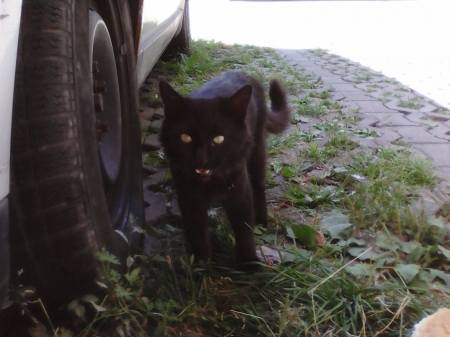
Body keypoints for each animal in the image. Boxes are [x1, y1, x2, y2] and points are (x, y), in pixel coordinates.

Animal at [160, 71, 290, 268]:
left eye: (219, 139)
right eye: (186, 137)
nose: (202, 159)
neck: (209, 184)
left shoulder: (239, 191)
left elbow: (244, 229)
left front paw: (248, 263)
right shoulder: (188, 196)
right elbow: (197, 232)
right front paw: (202, 265)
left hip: (256, 152)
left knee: (258, 186)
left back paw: (262, 220)